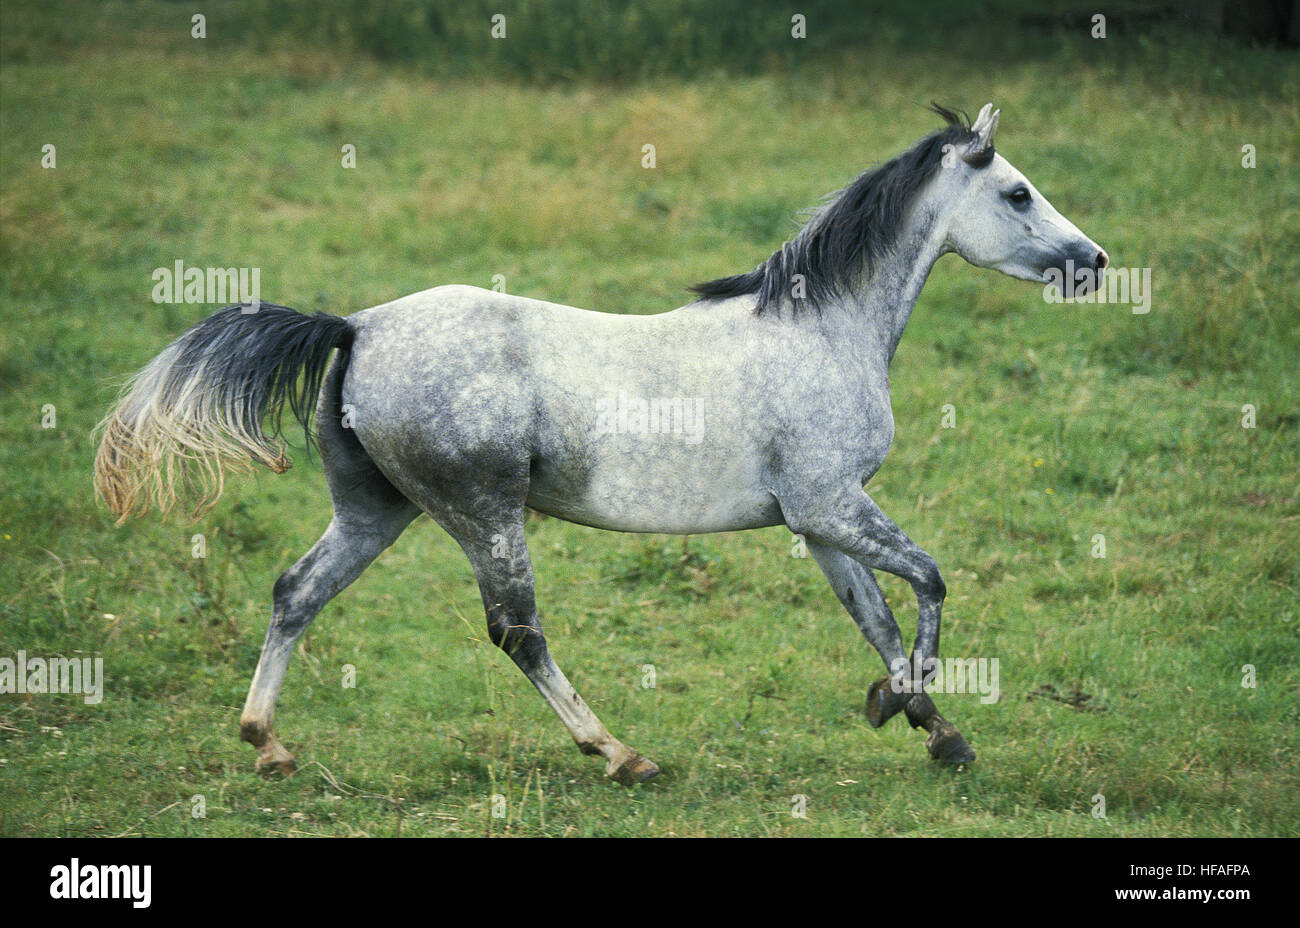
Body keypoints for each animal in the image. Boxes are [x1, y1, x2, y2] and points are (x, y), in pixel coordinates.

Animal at [94, 104, 1107, 784]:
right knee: (517, 631)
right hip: (483, 511)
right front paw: (905, 711)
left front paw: (934, 728)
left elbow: (879, 619)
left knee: (296, 592)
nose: (1094, 261)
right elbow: (930, 582)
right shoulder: (832, 503)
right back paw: (620, 754)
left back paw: (268, 745)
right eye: (1017, 192)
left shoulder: (818, 522)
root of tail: (358, 326)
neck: (824, 330)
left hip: (377, 511)